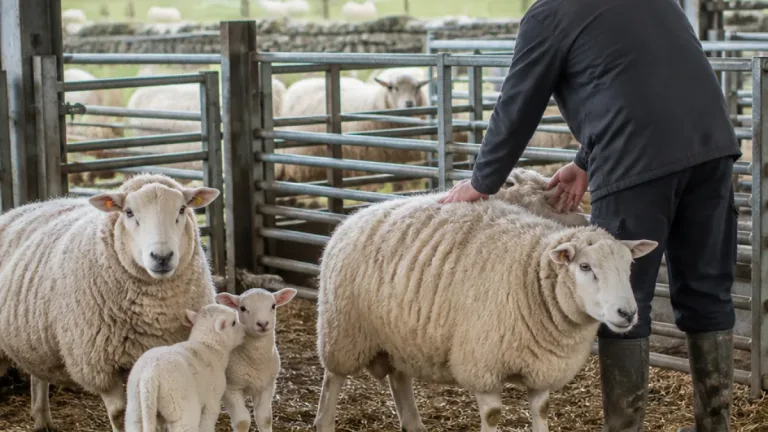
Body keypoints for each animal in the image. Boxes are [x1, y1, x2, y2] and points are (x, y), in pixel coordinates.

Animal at [0, 173, 221, 432]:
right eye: (128, 212)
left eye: (182, 209)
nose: (162, 257)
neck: (155, 316)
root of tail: (22, 208)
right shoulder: (100, 367)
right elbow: (119, 413)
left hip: (35, 339)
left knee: (38, 375)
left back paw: (42, 419)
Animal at [125, 303, 246, 432]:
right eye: (233, 322)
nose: (245, 331)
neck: (209, 347)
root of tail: (149, 376)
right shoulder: (213, 399)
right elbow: (206, 424)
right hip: (180, 404)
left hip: (135, 407)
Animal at [215, 287, 298, 432]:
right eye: (242, 308)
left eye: (273, 306)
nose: (262, 323)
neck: (256, 363)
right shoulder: (231, 389)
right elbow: (242, 421)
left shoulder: (266, 387)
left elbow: (265, 418)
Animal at [312, 193, 658, 432]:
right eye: (585, 267)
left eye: (628, 266)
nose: (627, 313)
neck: (529, 271)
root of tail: (351, 219)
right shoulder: (483, 363)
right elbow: (492, 416)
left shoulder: (541, 367)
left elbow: (542, 410)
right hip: (344, 330)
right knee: (332, 379)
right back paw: (324, 423)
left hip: (399, 336)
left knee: (399, 378)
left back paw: (413, 424)